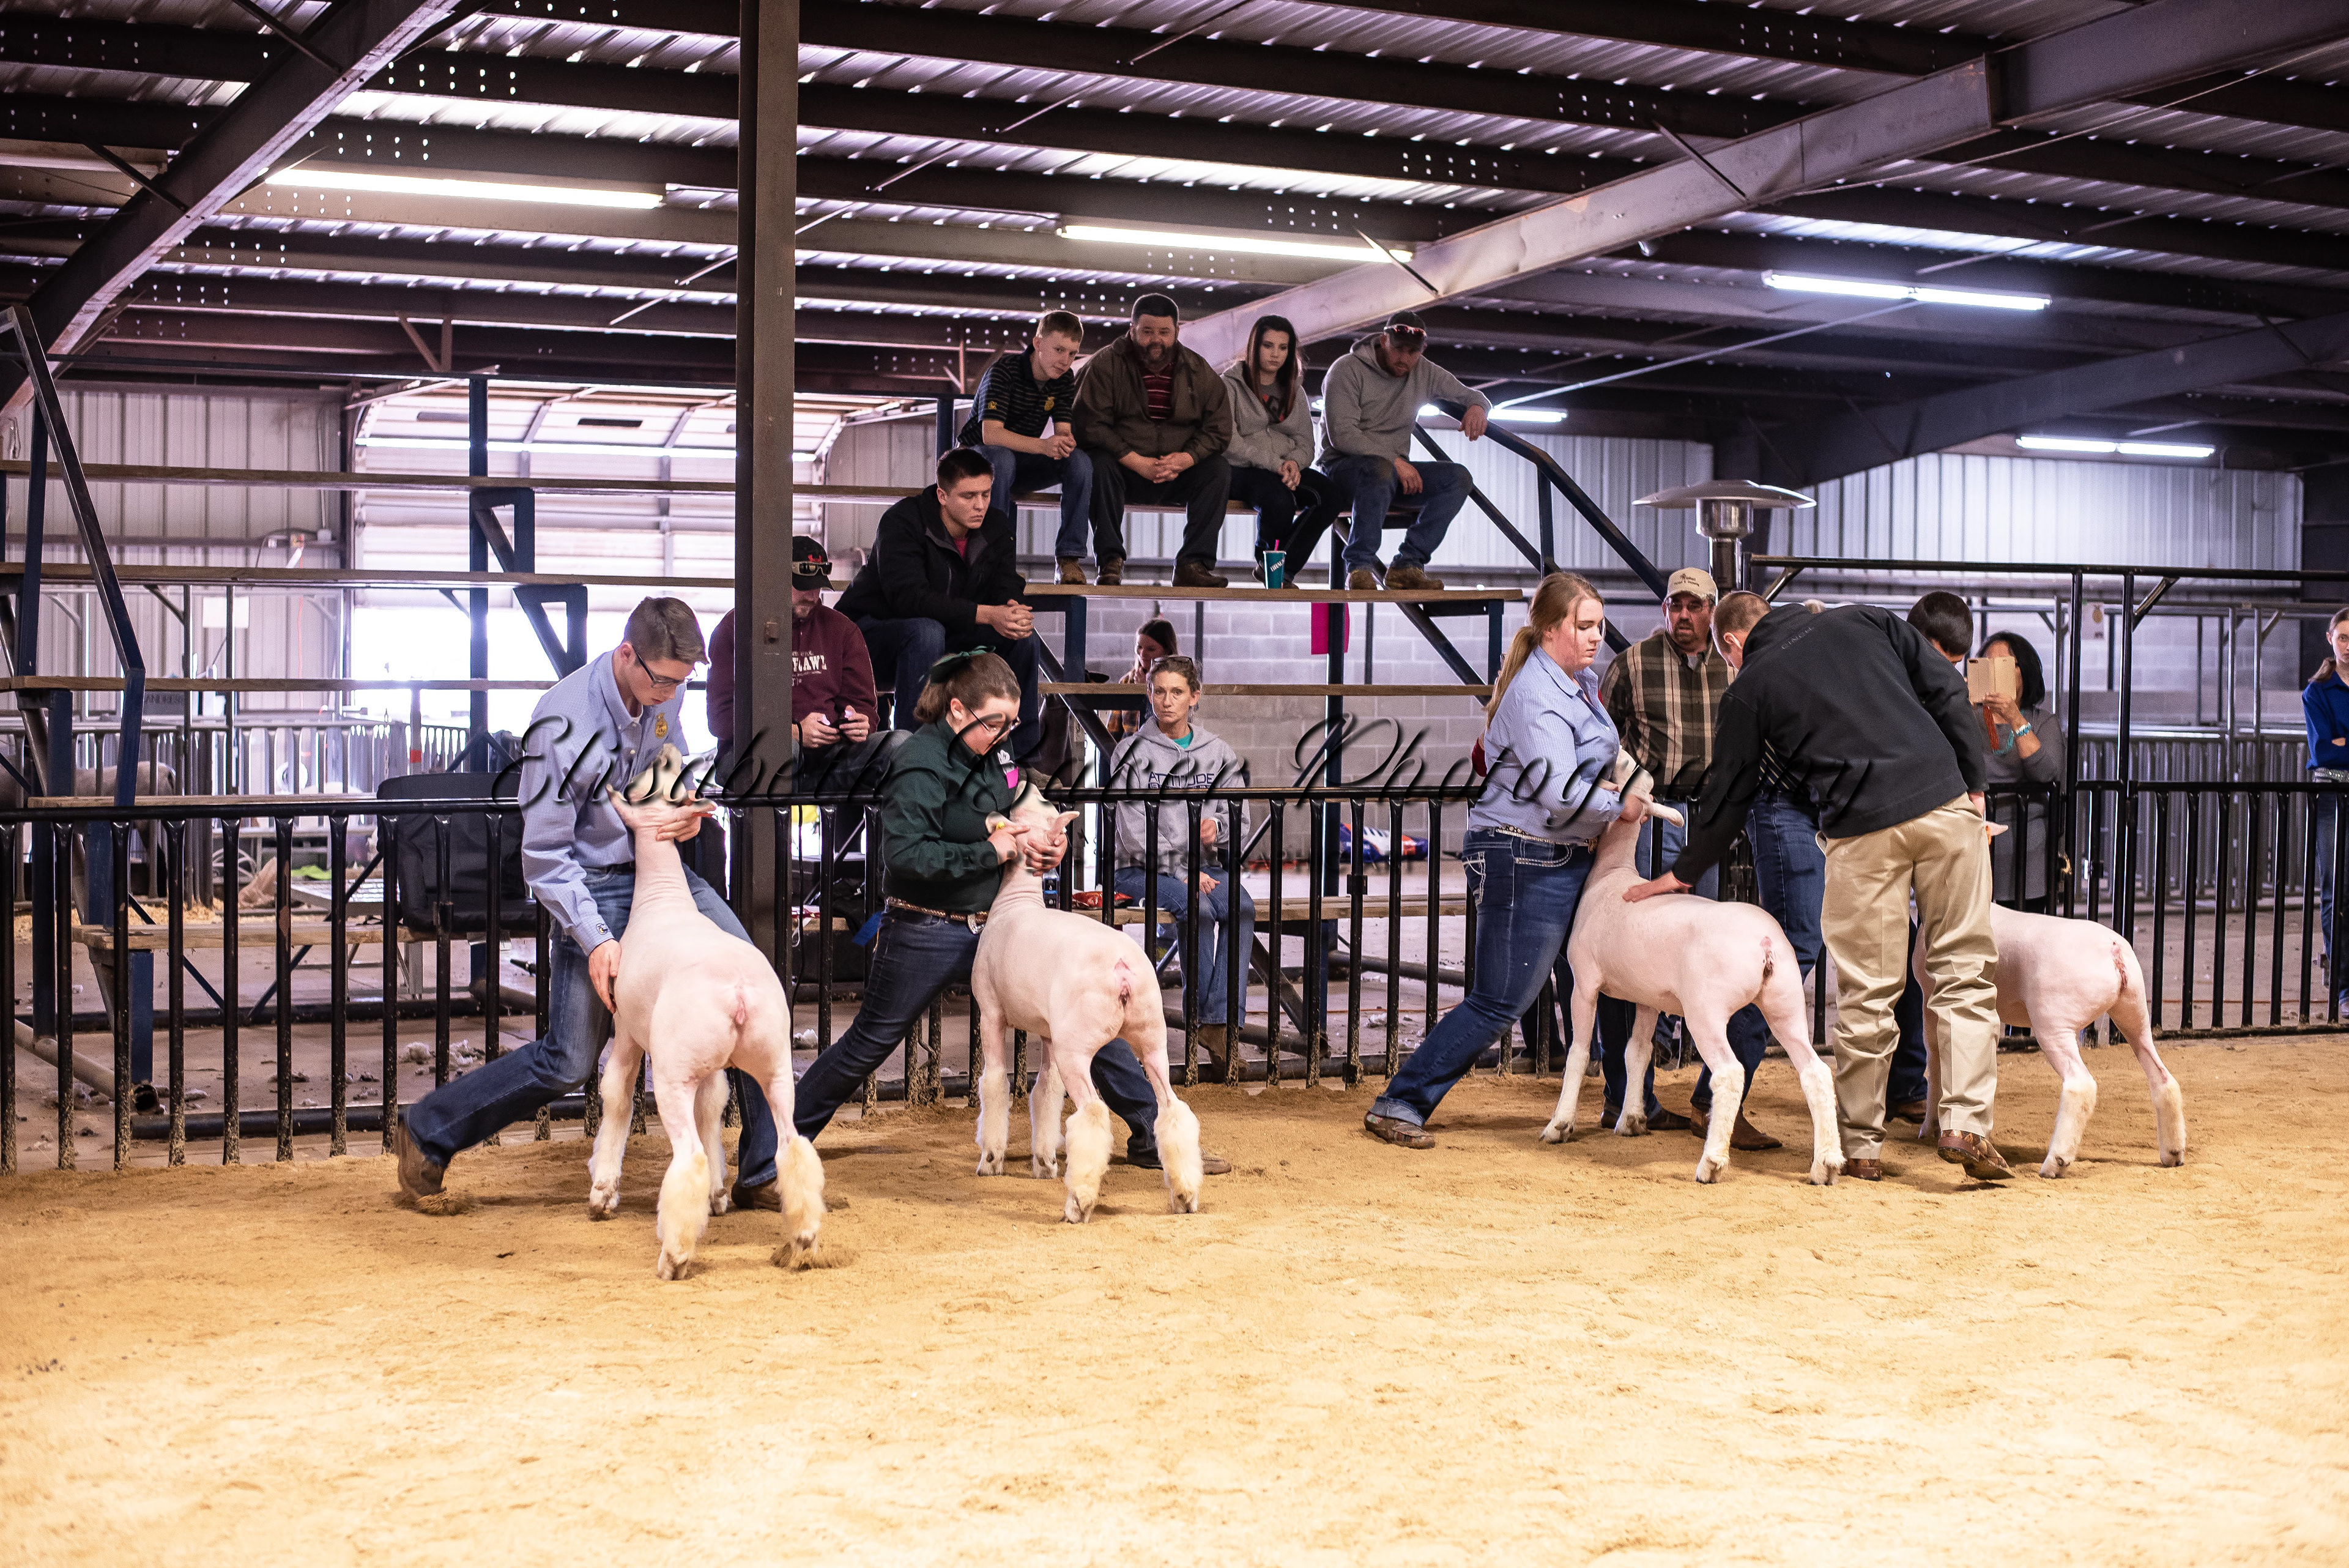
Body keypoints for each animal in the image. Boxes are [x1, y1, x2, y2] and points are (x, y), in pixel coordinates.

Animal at [583, 746, 823, 1278]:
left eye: (656, 778)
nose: (669, 750)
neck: (662, 896)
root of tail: (737, 993)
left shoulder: (627, 1032)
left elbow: (617, 1097)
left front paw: (603, 1189)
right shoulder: (713, 1065)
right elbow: (714, 1106)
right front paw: (717, 1192)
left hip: (674, 1070)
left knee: (687, 1155)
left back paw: (674, 1254)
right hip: (774, 1064)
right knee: (793, 1146)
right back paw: (802, 1237)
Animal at [970, 783, 1204, 1222]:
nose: (1027, 784)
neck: (1017, 900)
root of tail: (1122, 970)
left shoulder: (992, 1013)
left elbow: (994, 1082)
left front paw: (991, 1159)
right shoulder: (1047, 1030)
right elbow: (1046, 1090)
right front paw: (1044, 1162)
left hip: (1077, 1045)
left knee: (1094, 1115)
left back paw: (1079, 1202)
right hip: (1152, 1036)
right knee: (1172, 1108)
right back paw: (1185, 1194)